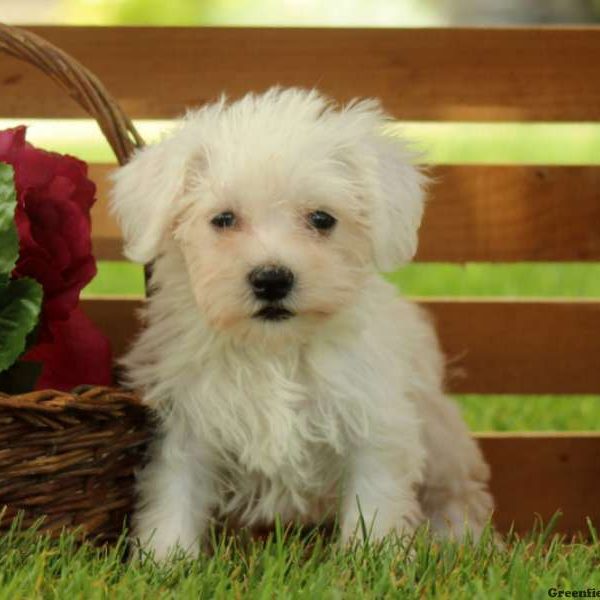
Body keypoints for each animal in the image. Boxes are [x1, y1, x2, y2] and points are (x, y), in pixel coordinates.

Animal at [110, 86, 494, 560]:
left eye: (322, 219)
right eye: (223, 219)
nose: (272, 279)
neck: (275, 350)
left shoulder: (374, 425)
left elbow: (373, 506)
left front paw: (368, 563)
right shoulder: (186, 424)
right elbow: (174, 496)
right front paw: (166, 560)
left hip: (443, 440)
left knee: (459, 494)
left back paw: (459, 538)